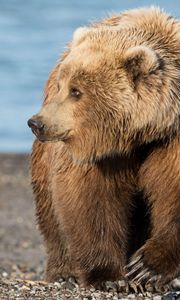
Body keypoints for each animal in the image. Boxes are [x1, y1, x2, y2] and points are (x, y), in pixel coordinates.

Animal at [27, 7, 180, 288]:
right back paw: (64, 272)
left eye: (76, 91)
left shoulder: (172, 140)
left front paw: (146, 267)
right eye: (61, 86)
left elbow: (173, 191)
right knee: (50, 213)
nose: (36, 123)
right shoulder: (98, 153)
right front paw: (110, 277)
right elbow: (90, 198)